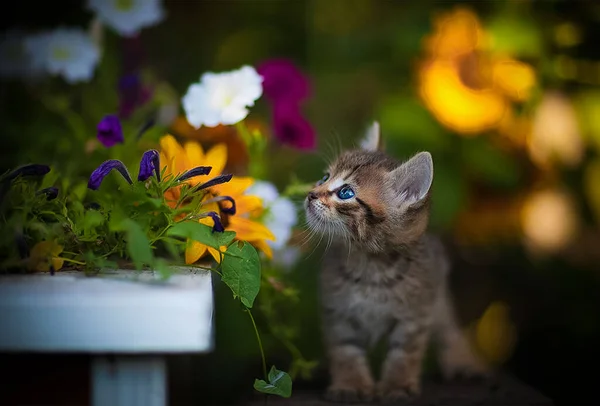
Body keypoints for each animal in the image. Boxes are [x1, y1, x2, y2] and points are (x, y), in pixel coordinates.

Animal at [304, 123, 488, 402]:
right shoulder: (337, 312)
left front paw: (397, 386)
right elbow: (345, 350)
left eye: (346, 193)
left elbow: (404, 354)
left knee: (449, 328)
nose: (310, 194)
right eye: (325, 177)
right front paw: (351, 383)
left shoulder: (414, 317)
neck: (370, 267)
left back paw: (463, 362)